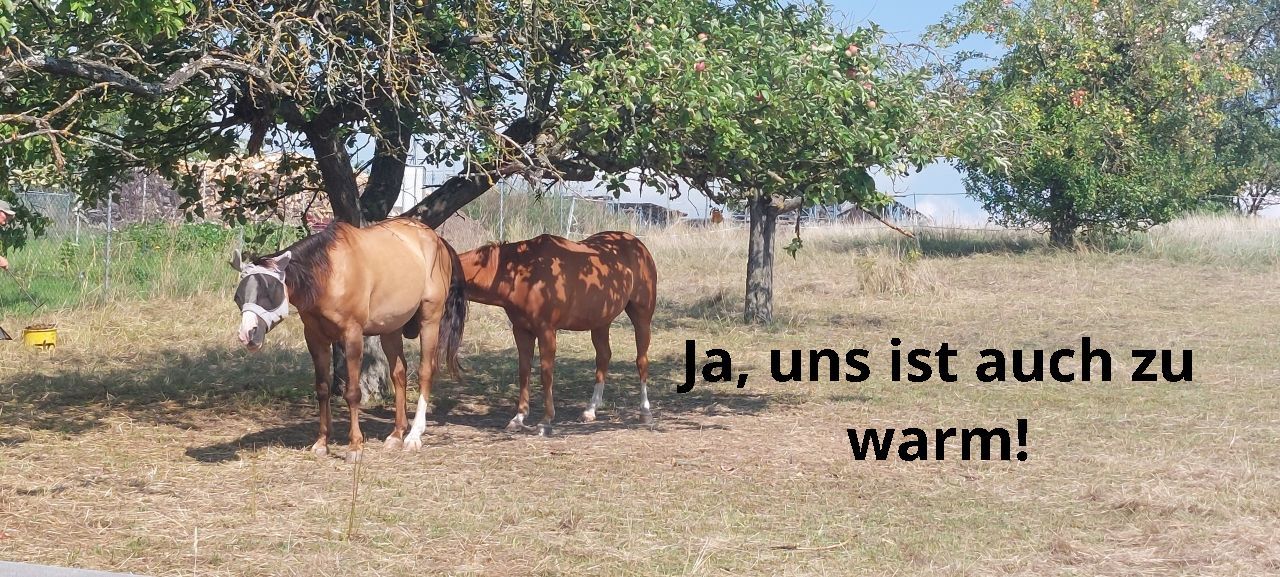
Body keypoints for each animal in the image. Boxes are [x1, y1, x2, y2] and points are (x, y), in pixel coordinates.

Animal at [231, 217, 467, 463]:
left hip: (430, 321)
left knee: (425, 372)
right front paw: (322, 442)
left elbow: (353, 393)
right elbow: (322, 389)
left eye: (269, 293)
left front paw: (355, 446)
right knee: (399, 374)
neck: (329, 274)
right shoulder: (315, 338)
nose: (247, 334)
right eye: (238, 297)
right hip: (390, 329)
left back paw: (414, 436)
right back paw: (397, 433)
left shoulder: (352, 334)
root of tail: (436, 239)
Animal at [457, 231, 658, 435]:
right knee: (603, 357)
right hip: (601, 322)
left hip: (641, 317)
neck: (521, 272)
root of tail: (637, 244)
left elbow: (546, 374)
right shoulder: (521, 330)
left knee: (641, 360)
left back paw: (645, 412)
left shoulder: (546, 331)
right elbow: (524, 372)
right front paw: (518, 418)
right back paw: (590, 410)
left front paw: (545, 421)